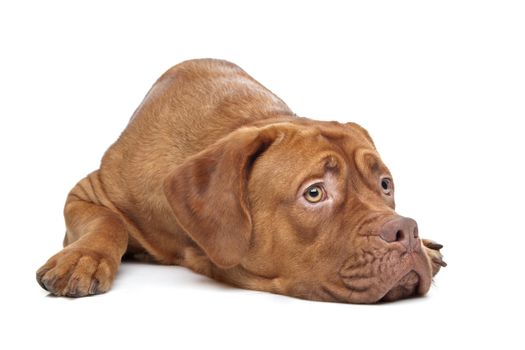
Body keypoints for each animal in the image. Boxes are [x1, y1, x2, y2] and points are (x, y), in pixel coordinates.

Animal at [36, 58, 444, 302]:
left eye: (385, 185)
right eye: (314, 193)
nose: (406, 230)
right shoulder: (90, 193)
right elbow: (108, 221)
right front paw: (82, 259)